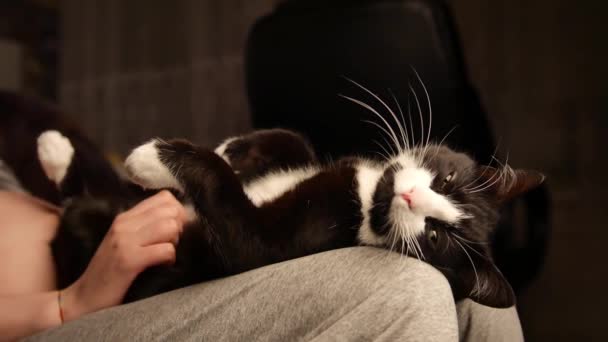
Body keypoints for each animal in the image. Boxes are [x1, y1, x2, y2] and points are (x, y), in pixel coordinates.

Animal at [39, 125, 540, 308]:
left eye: (435, 239)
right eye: (447, 176)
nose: (412, 196)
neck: (364, 198)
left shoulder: (270, 244)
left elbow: (234, 215)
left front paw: (157, 157)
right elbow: (297, 141)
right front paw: (236, 148)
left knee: (73, 223)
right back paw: (55, 149)